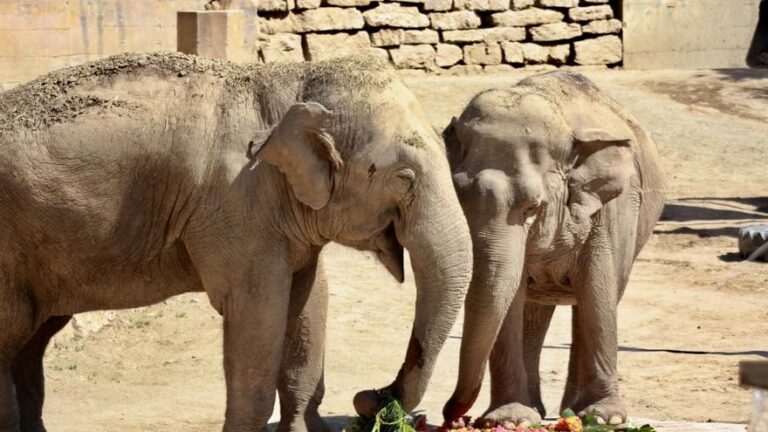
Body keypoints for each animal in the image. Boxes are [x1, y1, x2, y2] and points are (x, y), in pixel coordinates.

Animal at [0, 52, 473, 432]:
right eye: (404, 177)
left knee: (31, 343)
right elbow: (256, 311)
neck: (291, 80)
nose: (372, 396)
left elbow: (309, 300)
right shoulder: (237, 204)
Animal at [441, 72, 665, 427]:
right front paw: (510, 420)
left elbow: (598, 290)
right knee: (534, 311)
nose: (454, 417)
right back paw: (540, 409)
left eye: (533, 207)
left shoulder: (612, 209)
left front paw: (605, 418)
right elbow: (510, 298)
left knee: (592, 300)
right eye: (457, 199)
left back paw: (572, 409)